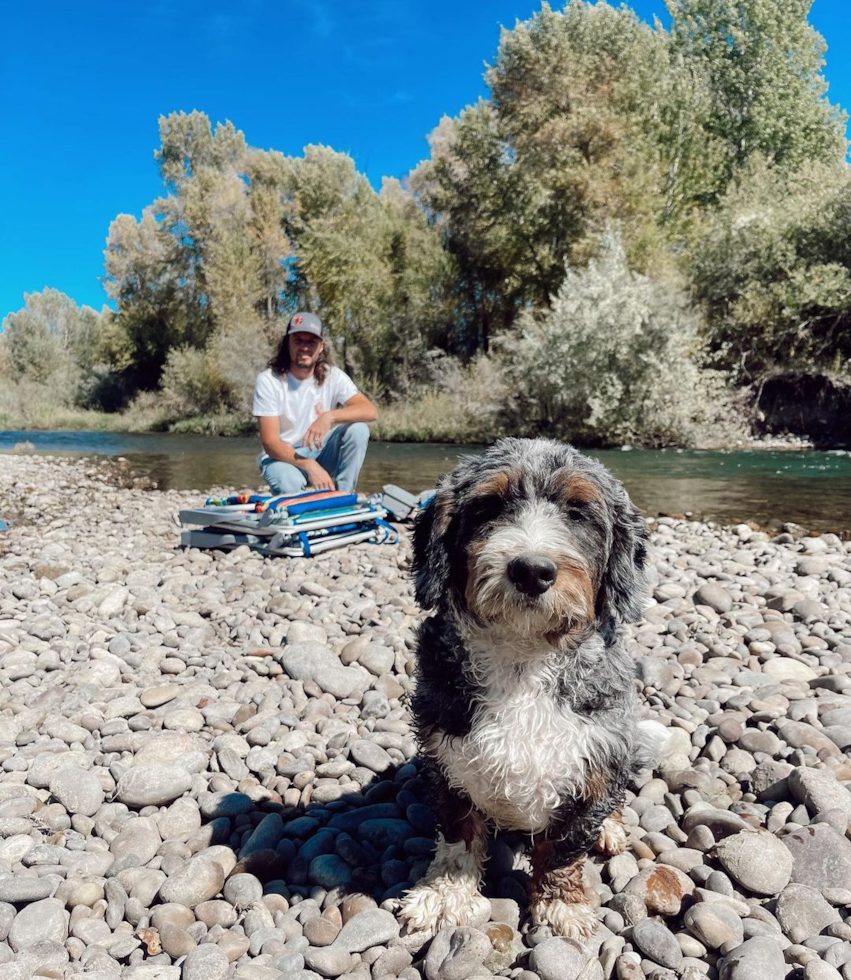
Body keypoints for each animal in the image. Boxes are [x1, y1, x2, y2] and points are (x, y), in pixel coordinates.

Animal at [400, 438, 664, 940]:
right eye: (488, 506)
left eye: (578, 513)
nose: (531, 570)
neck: (523, 658)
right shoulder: (447, 763)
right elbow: (458, 837)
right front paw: (444, 895)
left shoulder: (594, 771)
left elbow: (562, 850)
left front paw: (561, 906)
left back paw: (611, 829)